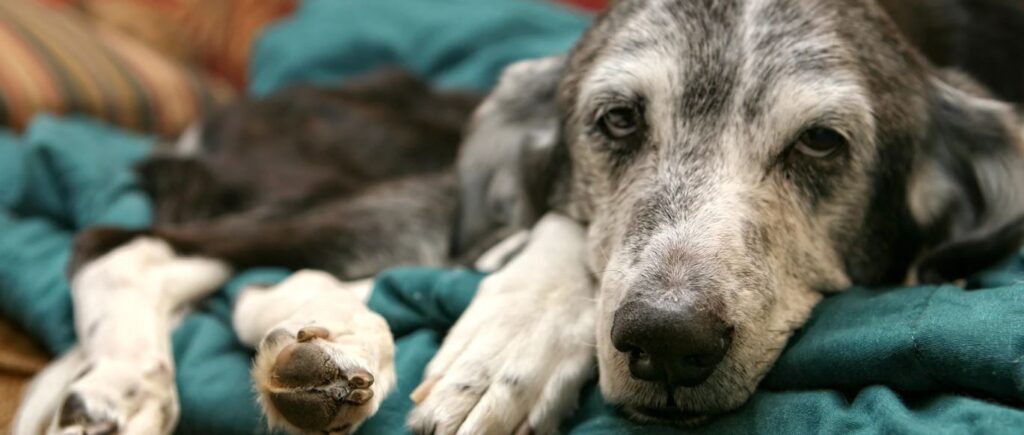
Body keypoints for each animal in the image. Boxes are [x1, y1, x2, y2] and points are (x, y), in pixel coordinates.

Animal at [14, 0, 1024, 431]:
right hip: (417, 192)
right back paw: (141, 383)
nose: (667, 342)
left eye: (820, 143)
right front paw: (514, 342)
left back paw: (319, 352)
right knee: (124, 243)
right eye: (616, 120)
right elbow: (564, 232)